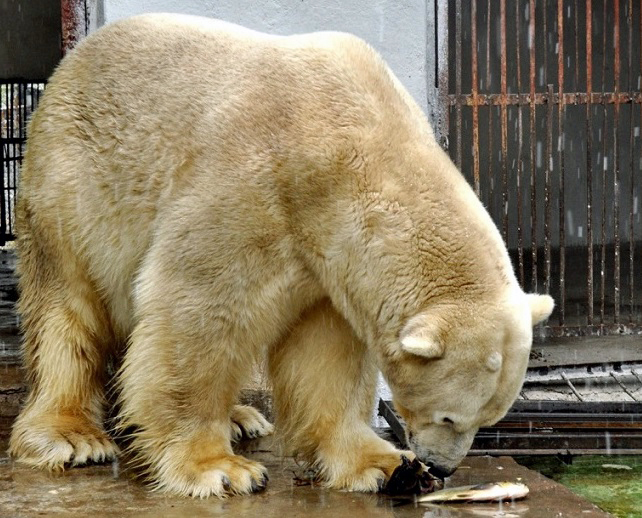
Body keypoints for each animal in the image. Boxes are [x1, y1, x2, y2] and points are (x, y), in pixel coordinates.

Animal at [7, 14, 552, 498]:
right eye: (449, 416)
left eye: (490, 418)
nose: (441, 466)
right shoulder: (258, 189)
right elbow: (198, 308)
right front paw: (218, 468)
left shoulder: (330, 259)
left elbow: (326, 354)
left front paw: (384, 464)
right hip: (73, 187)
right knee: (68, 308)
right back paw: (71, 435)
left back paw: (242, 417)